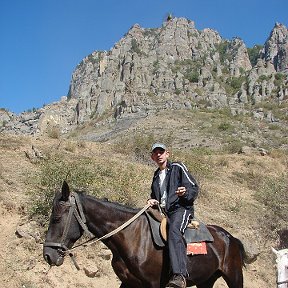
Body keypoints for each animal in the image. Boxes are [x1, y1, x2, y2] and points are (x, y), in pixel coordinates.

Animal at [44, 181, 246, 286]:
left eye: (56, 219)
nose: (48, 255)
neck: (131, 237)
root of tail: (230, 238)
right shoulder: (128, 283)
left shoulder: (153, 284)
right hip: (206, 279)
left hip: (234, 276)